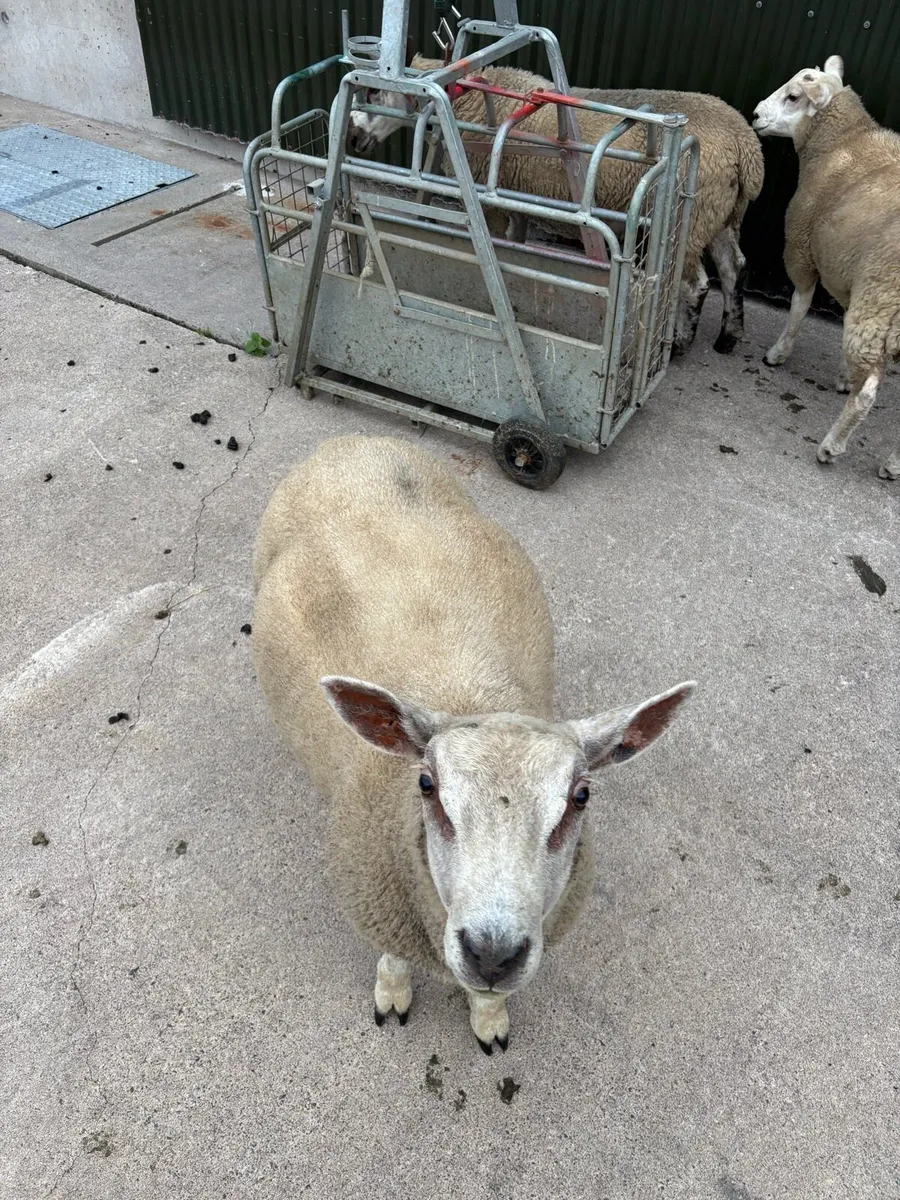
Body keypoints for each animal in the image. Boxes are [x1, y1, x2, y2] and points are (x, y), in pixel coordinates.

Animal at [252, 435, 695, 1052]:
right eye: (425, 784)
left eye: (581, 797)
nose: (492, 953)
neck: (466, 697)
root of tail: (355, 442)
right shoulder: (378, 896)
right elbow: (392, 957)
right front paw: (393, 994)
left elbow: (491, 1000)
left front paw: (490, 1020)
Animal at [347, 56, 764, 355]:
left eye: (373, 93)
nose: (350, 136)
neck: (471, 99)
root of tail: (746, 147)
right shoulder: (515, 194)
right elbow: (515, 242)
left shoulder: (489, 198)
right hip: (722, 214)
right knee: (734, 268)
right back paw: (728, 337)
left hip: (690, 219)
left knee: (694, 285)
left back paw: (680, 344)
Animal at [753, 55, 900, 479]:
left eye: (793, 96)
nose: (755, 116)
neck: (843, 142)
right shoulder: (849, 271)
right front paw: (843, 376)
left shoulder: (803, 249)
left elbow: (800, 305)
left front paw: (778, 353)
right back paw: (893, 463)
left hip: (880, 299)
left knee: (867, 396)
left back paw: (832, 446)